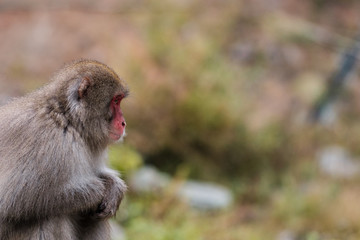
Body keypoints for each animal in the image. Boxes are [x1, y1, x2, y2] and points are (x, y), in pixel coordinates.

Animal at [0, 59, 129, 239]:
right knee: (48, 215)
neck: (68, 119)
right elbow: (12, 201)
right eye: (116, 100)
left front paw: (114, 187)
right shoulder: (46, 140)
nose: (123, 123)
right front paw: (97, 191)